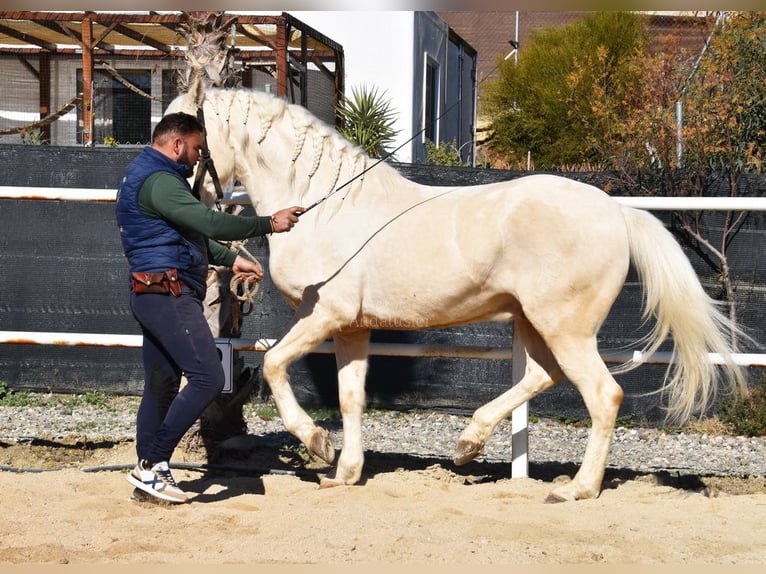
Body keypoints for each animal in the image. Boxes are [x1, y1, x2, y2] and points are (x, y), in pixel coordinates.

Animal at [168, 84, 752, 504]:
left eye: (191, 136)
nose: (181, 190)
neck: (321, 206)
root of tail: (616, 212)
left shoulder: (323, 315)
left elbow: (272, 366)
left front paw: (316, 443)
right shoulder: (353, 327)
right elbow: (352, 397)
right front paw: (345, 472)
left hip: (564, 326)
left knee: (602, 395)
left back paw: (576, 489)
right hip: (534, 322)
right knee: (544, 376)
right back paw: (469, 444)